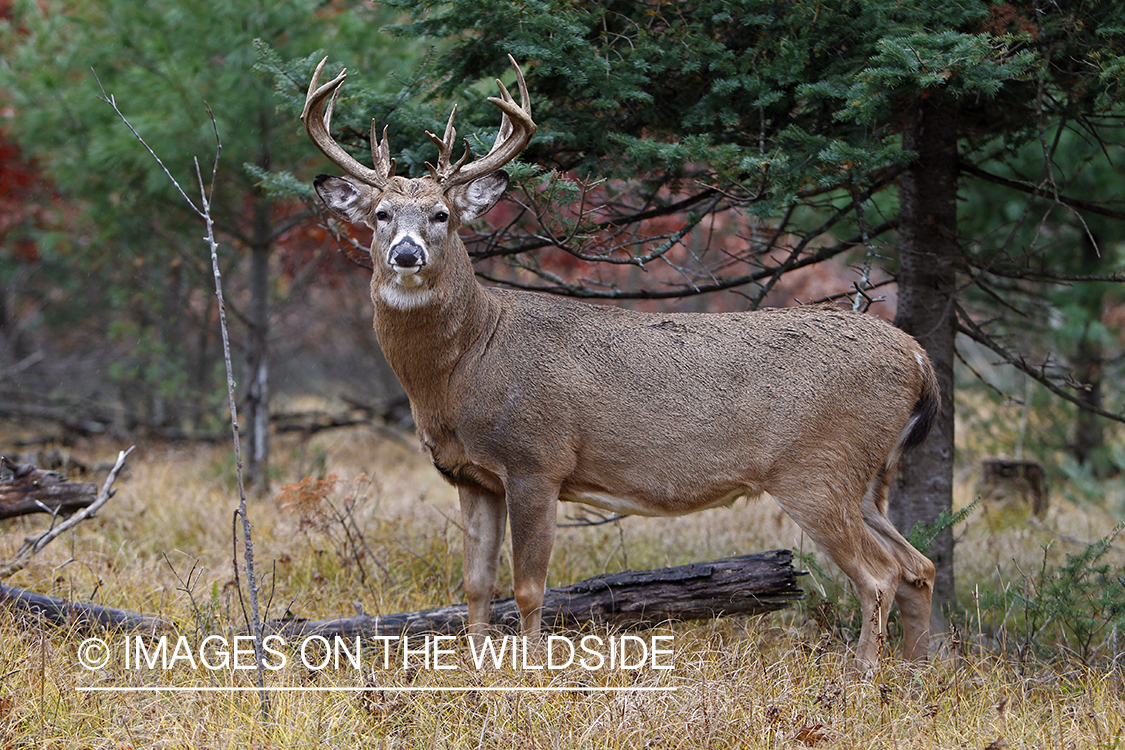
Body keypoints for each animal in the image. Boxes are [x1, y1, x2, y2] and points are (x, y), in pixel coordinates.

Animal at [301, 55, 940, 670]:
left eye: (441, 215)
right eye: (381, 214)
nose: (407, 254)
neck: (467, 364)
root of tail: (917, 355)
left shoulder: (537, 460)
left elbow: (528, 587)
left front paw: (527, 673)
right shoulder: (471, 475)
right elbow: (476, 586)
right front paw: (478, 672)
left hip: (817, 468)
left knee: (880, 574)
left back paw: (862, 678)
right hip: (867, 474)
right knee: (919, 566)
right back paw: (915, 677)